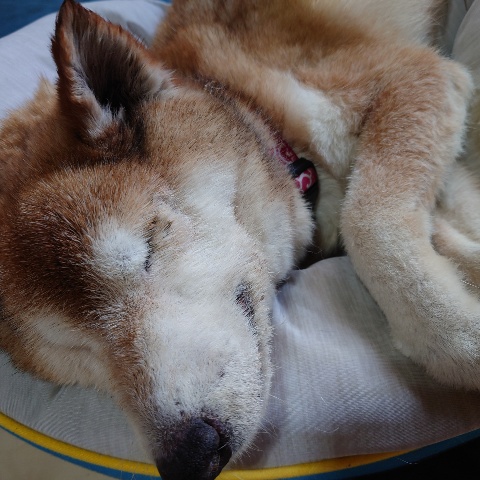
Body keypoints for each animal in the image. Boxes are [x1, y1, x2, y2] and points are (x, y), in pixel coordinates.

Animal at [0, 0, 479, 479]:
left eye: (149, 248)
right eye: (76, 347)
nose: (189, 457)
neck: (258, 109)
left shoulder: (419, 76)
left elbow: (367, 220)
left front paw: (456, 335)